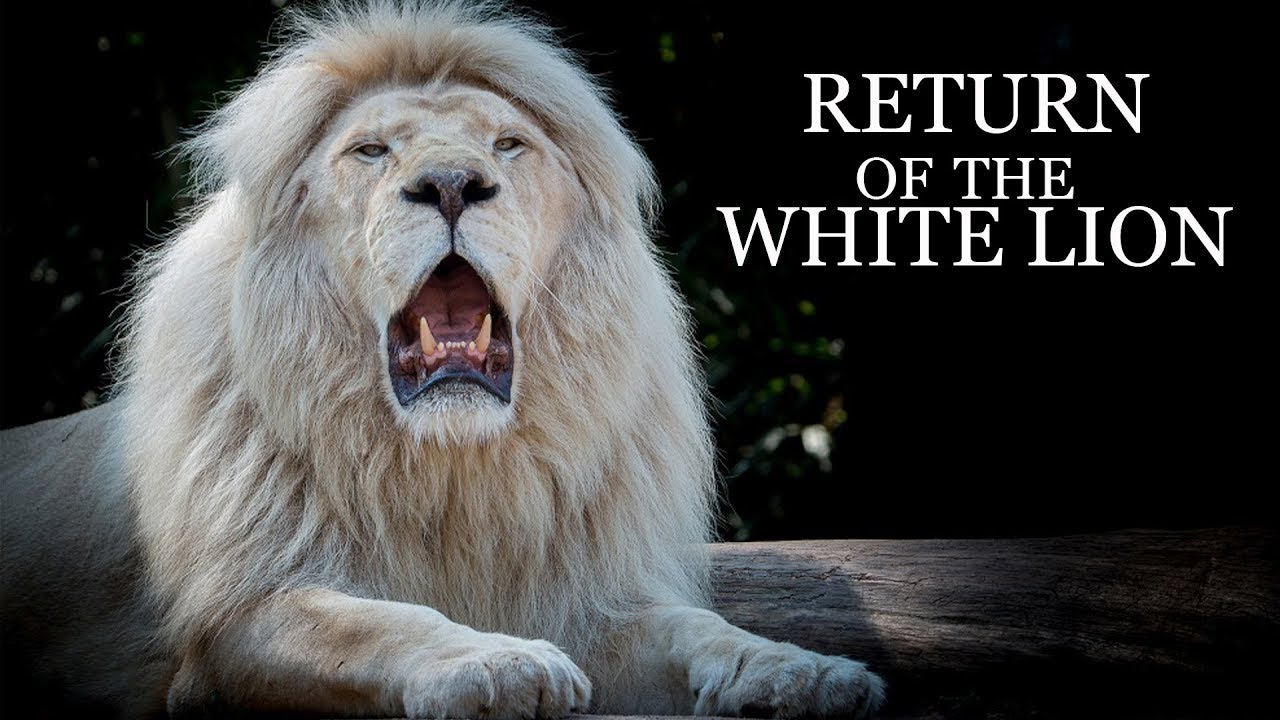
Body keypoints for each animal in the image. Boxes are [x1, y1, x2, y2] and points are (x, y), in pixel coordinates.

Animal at [0, 2, 885, 718]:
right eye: (370, 151)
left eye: (508, 144)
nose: (453, 183)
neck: (451, 467)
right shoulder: (238, 617)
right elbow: (375, 623)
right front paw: (497, 662)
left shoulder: (583, 602)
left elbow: (697, 629)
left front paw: (804, 672)